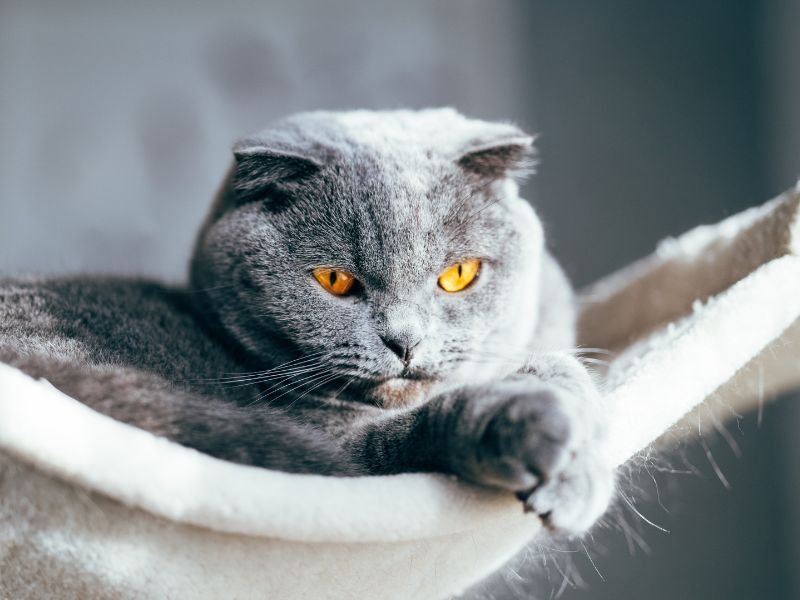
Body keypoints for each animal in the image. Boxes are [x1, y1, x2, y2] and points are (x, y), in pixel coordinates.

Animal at [0, 108, 612, 536]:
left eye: (459, 274)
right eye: (334, 280)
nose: (406, 340)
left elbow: (557, 364)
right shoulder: (345, 446)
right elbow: (423, 426)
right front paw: (544, 433)